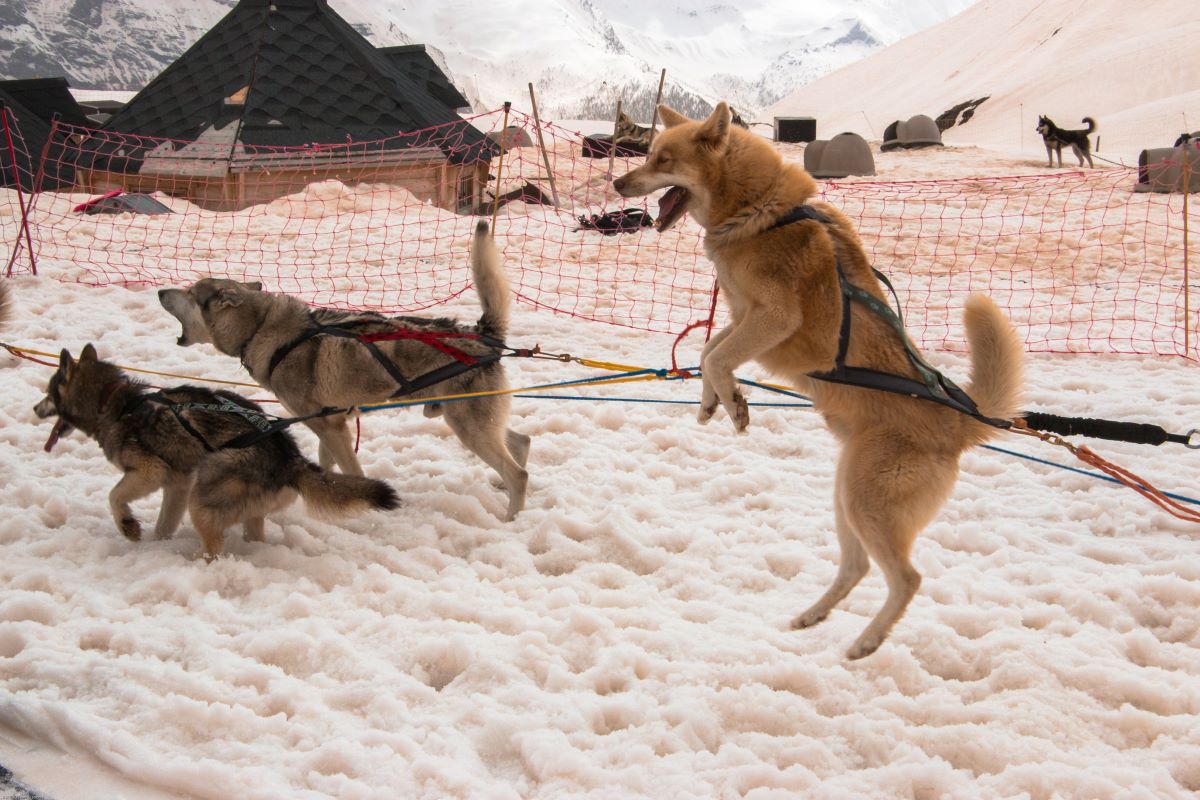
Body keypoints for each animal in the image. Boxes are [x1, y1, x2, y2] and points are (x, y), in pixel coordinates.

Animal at [619, 103, 1022, 662]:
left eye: (663, 159)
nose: (617, 182)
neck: (759, 214)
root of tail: (958, 423)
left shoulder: (772, 320)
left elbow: (717, 358)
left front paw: (733, 403)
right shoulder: (742, 318)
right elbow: (708, 351)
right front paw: (712, 402)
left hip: (865, 504)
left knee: (907, 579)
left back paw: (867, 641)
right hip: (846, 498)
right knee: (857, 566)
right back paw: (814, 614)